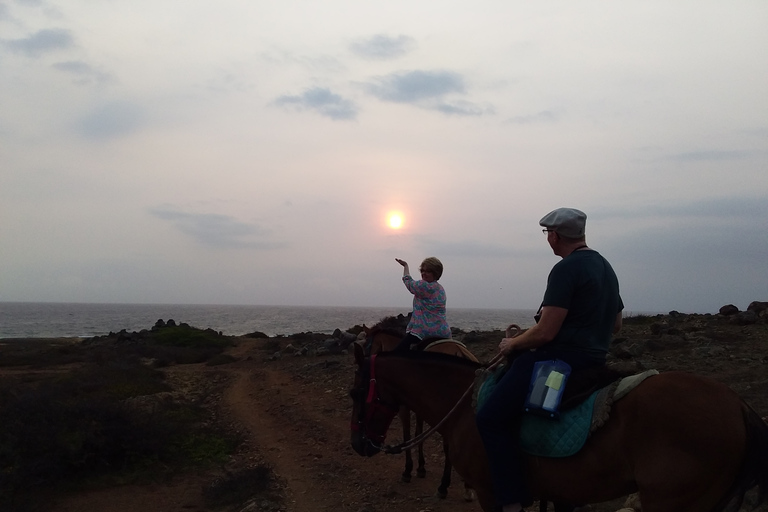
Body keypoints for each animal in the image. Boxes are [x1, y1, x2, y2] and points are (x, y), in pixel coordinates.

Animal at [364, 324, 476, 500]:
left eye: (366, 346)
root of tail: (459, 352)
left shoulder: (405, 407)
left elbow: (408, 435)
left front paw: (408, 470)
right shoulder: (421, 408)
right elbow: (419, 434)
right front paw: (421, 468)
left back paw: (444, 486)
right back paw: (467, 486)